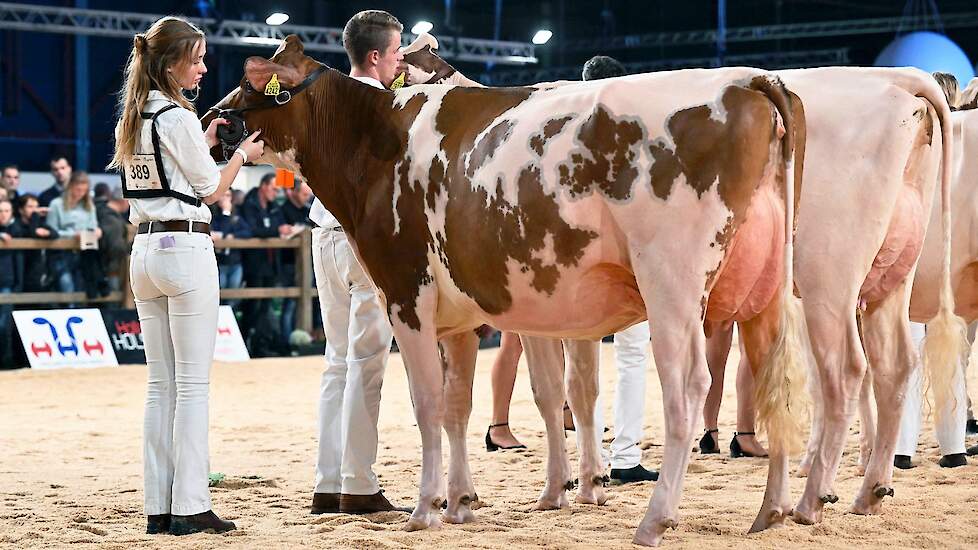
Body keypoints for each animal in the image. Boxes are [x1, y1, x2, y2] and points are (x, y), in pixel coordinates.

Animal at [204, 35, 800, 548]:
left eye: (253, 80)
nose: (210, 122)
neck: (376, 142)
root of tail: (749, 80)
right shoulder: (462, 319)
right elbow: (459, 406)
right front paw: (461, 502)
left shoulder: (407, 295)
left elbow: (427, 403)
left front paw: (425, 509)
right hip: (768, 290)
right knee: (775, 380)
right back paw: (773, 512)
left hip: (672, 287)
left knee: (689, 388)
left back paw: (656, 519)